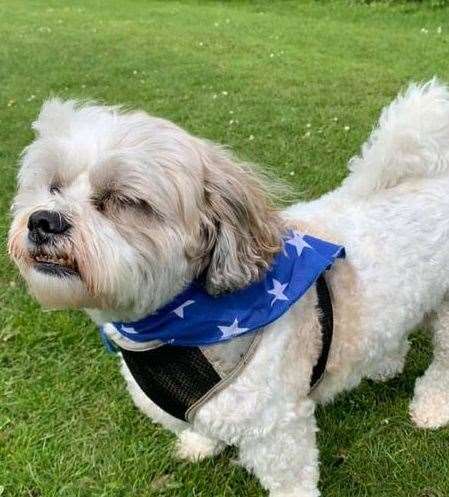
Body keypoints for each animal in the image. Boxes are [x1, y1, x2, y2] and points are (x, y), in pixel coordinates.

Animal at [7, 80, 449, 496]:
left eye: (124, 200)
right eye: (53, 187)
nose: (43, 220)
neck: (180, 328)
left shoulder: (277, 428)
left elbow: (291, 479)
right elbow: (202, 425)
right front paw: (201, 444)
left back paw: (431, 407)